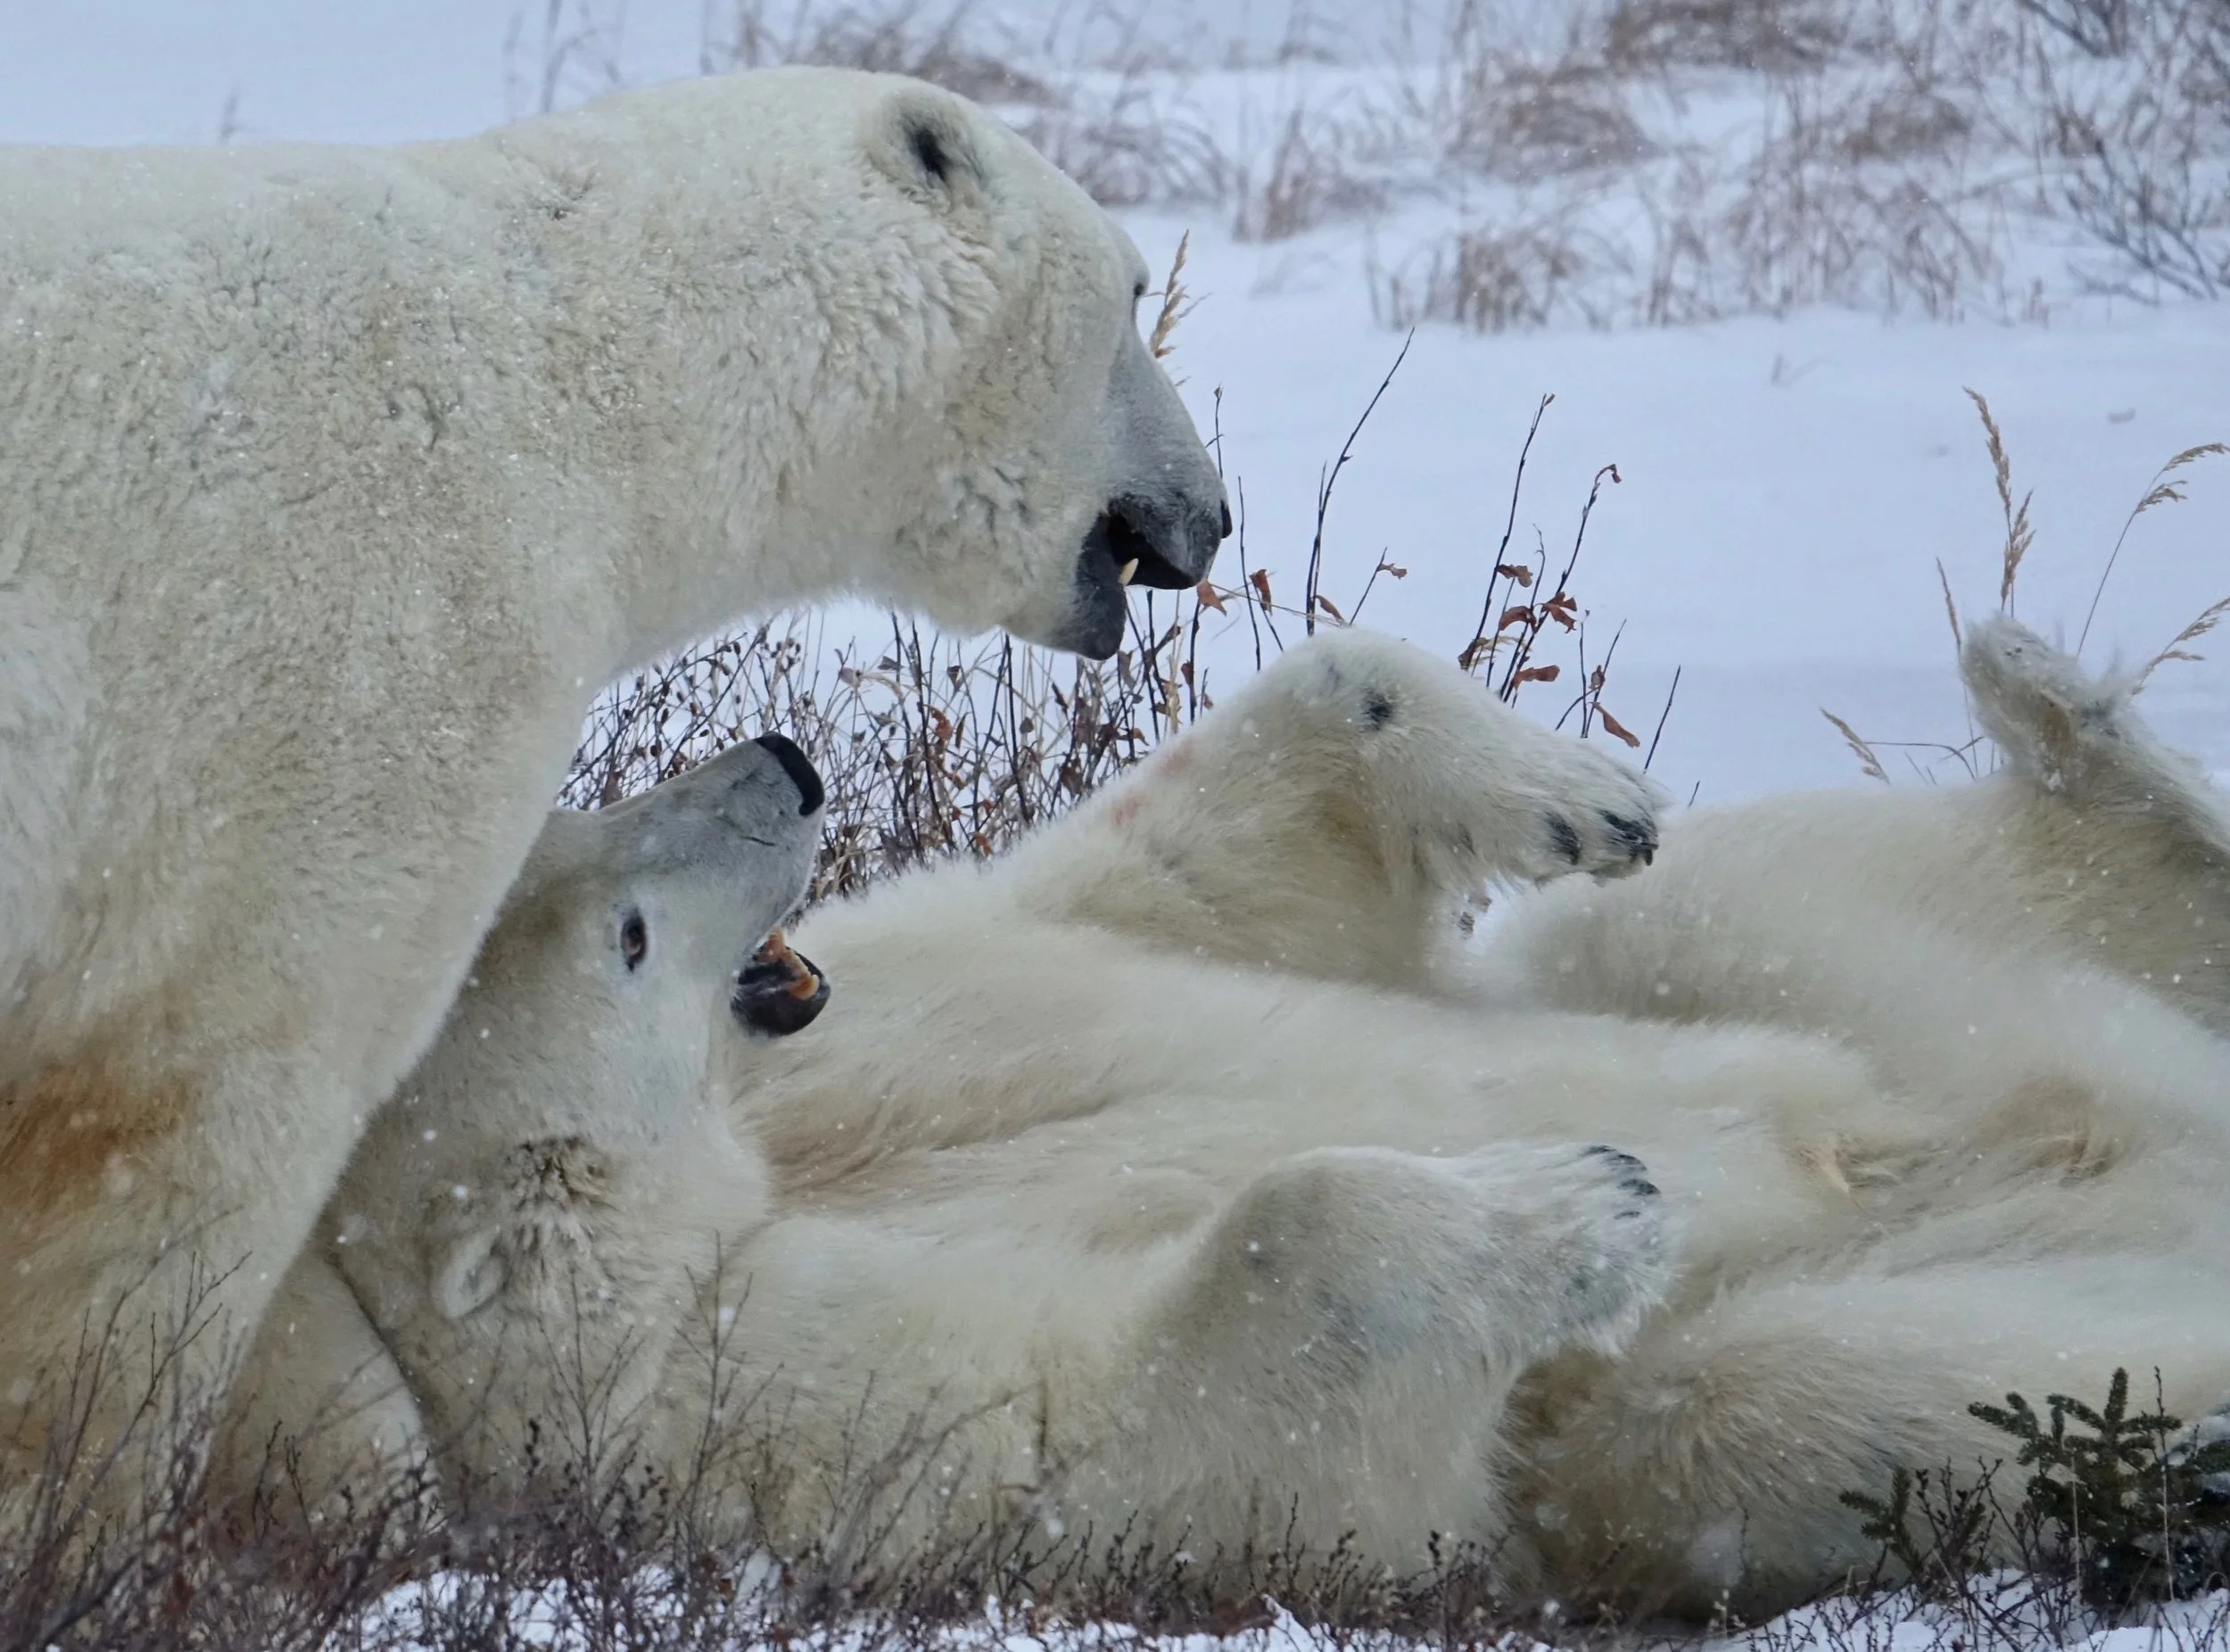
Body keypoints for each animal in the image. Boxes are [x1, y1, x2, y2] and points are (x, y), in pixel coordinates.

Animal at [268, 620, 2230, 1619]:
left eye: (567, 821)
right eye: (618, 931)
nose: (786, 763)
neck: (764, 1137)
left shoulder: (944, 974)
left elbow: (1210, 880)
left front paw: (1568, 783)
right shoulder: (753, 1380)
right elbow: (1183, 1434)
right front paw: (1581, 1196)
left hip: (1862, 986)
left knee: (1747, 911)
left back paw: (2051, 694)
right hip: (1845, 1390)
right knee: (1834, 1402)